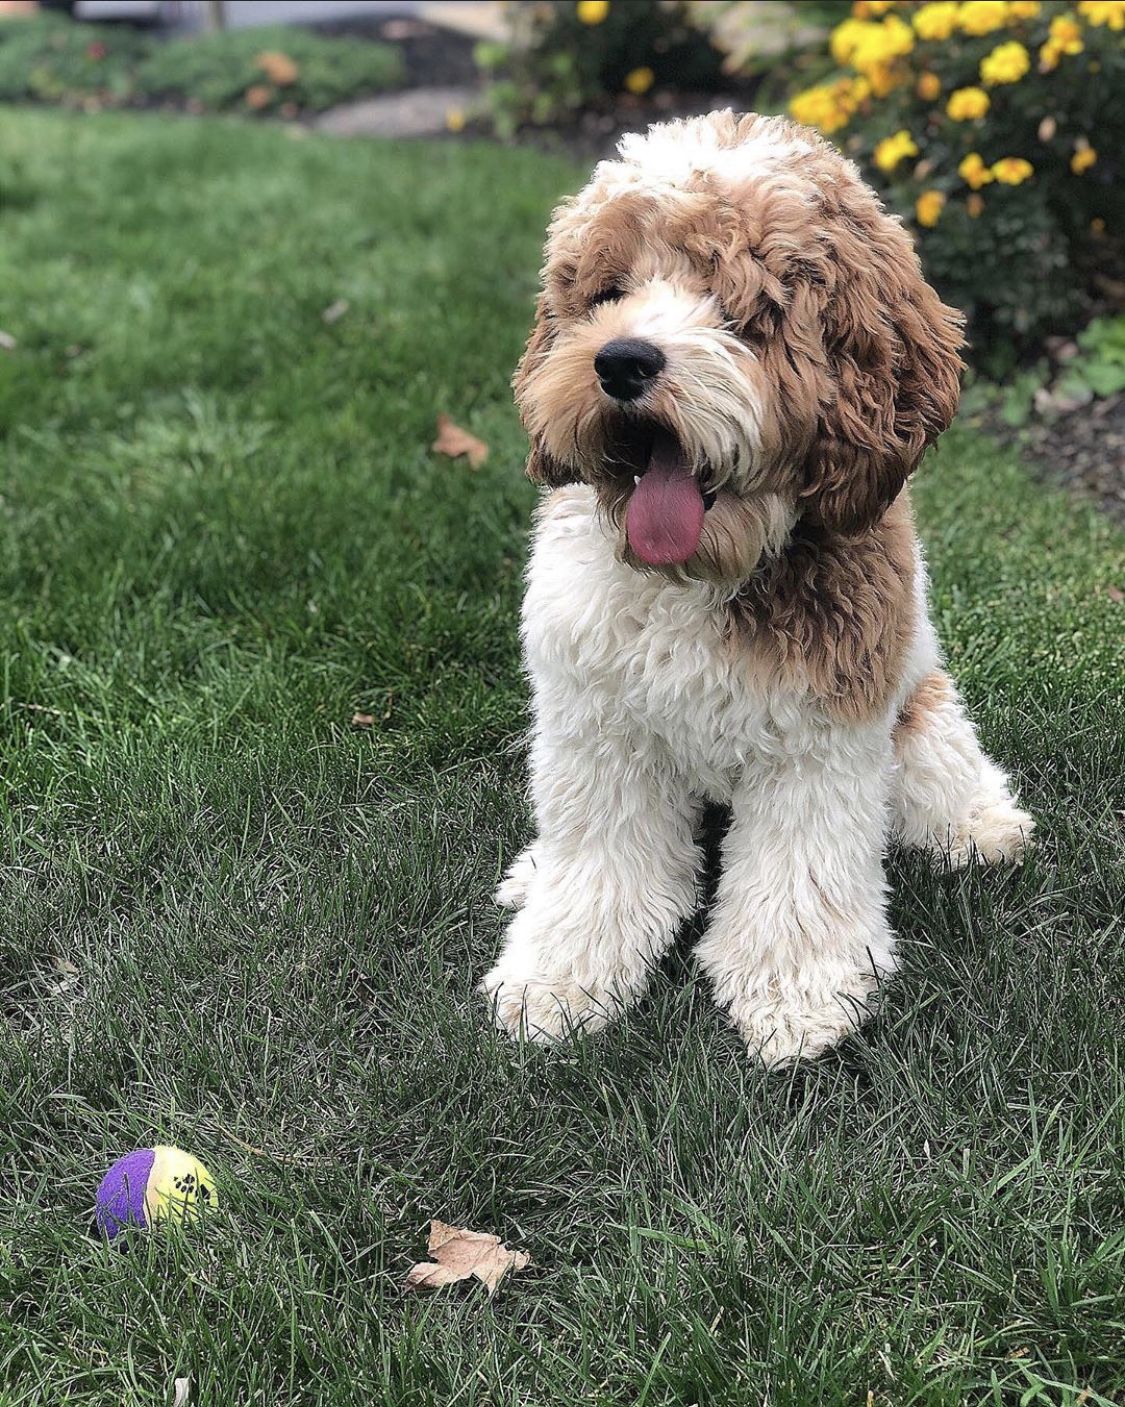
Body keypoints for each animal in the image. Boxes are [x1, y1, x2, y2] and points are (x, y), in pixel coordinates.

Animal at [478, 109, 1035, 1058]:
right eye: (608, 292)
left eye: (741, 307)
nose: (620, 361)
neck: (699, 576)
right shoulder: (597, 728)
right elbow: (598, 866)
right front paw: (558, 976)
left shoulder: (818, 737)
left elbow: (797, 871)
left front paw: (794, 993)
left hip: (919, 710)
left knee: (945, 768)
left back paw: (979, 826)